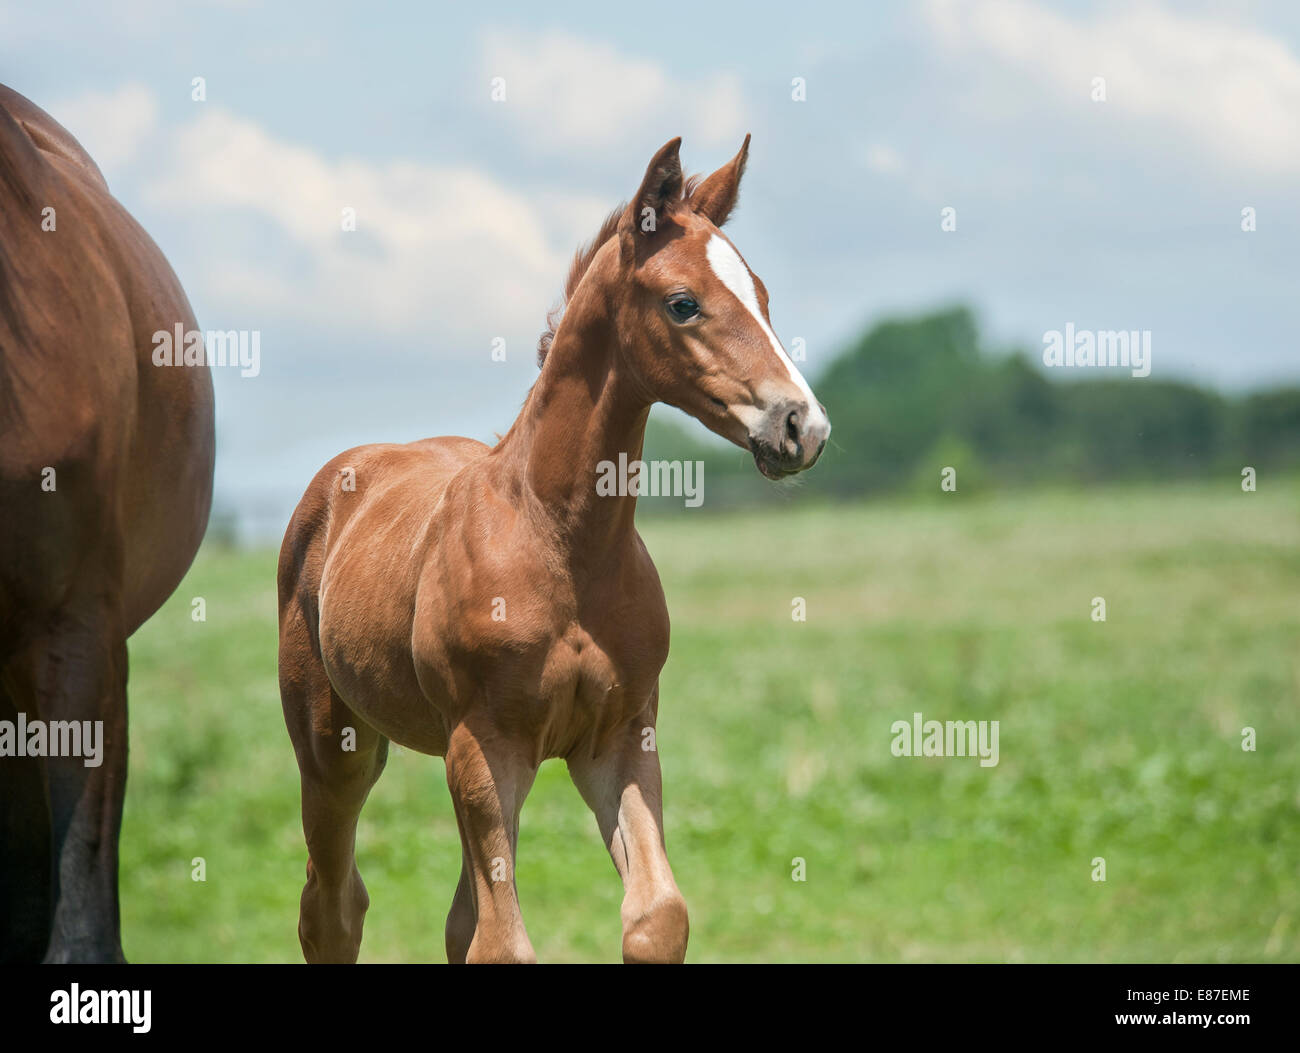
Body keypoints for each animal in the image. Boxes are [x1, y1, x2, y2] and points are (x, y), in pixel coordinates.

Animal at [278, 136, 830, 963]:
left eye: (762, 296)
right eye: (683, 302)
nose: (802, 425)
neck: (560, 543)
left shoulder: (618, 737)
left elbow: (655, 916)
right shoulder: (485, 745)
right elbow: (503, 945)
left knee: (453, 919)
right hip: (335, 748)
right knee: (332, 908)